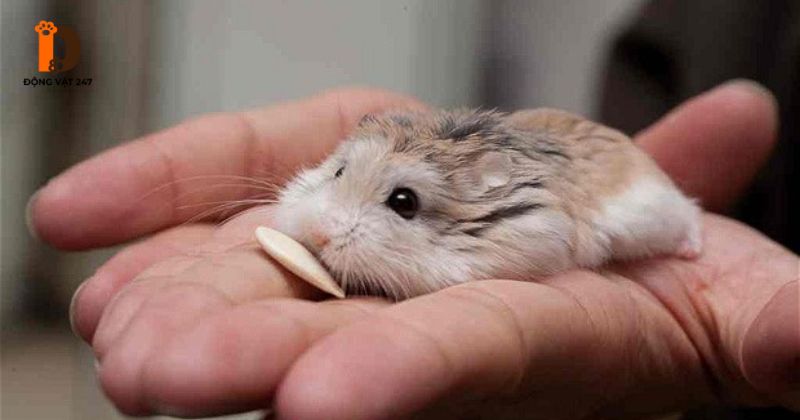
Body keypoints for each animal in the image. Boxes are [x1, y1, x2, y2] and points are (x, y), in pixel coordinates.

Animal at [271, 108, 702, 300]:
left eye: (404, 202)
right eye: (339, 172)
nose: (319, 235)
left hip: (649, 217)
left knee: (691, 215)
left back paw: (693, 251)